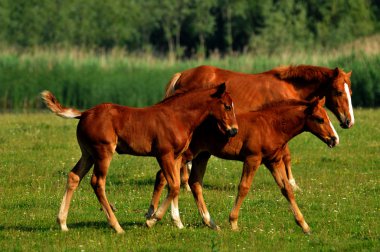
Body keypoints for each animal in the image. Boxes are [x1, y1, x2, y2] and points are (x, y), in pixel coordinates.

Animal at [41, 83, 238, 233]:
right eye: (227, 106)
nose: (234, 130)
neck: (177, 116)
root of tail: (84, 113)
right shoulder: (164, 154)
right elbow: (174, 186)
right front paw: (152, 219)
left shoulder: (176, 157)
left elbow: (174, 186)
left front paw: (177, 223)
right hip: (103, 153)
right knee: (97, 182)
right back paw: (117, 227)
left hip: (88, 154)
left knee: (74, 177)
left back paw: (63, 223)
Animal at [148, 97, 338, 233]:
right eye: (320, 119)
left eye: (328, 117)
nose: (334, 139)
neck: (271, 125)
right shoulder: (252, 159)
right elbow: (244, 187)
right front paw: (233, 222)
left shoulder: (274, 161)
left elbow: (287, 190)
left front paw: (304, 225)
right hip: (185, 154)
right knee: (165, 178)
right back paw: (155, 216)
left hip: (202, 155)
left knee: (193, 183)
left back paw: (206, 222)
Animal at [165, 65, 354, 191]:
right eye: (339, 92)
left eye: (350, 92)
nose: (349, 121)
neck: (287, 86)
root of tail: (182, 75)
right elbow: (287, 156)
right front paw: (293, 184)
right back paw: (185, 184)